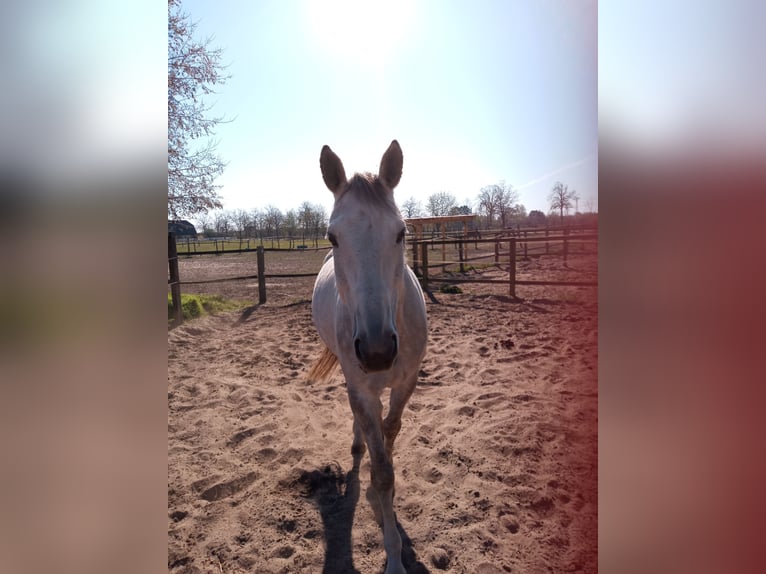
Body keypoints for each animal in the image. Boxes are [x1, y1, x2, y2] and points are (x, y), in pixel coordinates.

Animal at [312, 141, 432, 574]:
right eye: (332, 237)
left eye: (401, 233)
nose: (378, 352)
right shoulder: (362, 387)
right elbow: (381, 472)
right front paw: (394, 556)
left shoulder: (406, 382)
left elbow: (390, 442)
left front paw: (387, 508)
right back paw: (357, 447)